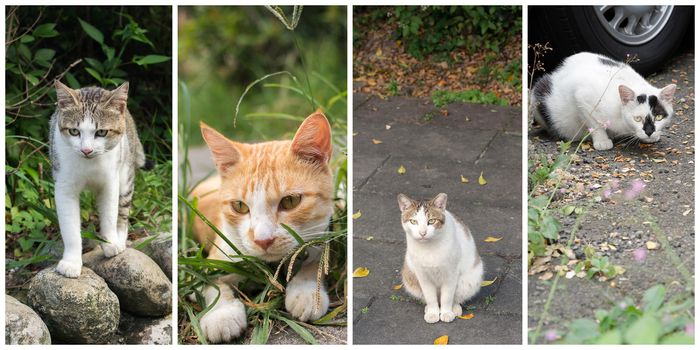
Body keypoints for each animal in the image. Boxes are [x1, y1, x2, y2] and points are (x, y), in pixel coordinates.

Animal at [51, 80, 147, 278]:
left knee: (123, 211)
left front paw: (110, 243)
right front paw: (71, 262)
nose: (86, 150)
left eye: (101, 132)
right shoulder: (64, 185)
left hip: (125, 172)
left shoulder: (110, 181)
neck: (89, 164)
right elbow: (70, 227)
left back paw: (120, 239)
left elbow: (110, 214)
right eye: (74, 131)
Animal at [190, 110, 334, 344]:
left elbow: (314, 263)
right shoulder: (212, 262)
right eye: (239, 206)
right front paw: (221, 315)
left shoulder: (320, 237)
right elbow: (212, 284)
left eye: (290, 201)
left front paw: (306, 293)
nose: (262, 240)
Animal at [400, 193, 482, 324]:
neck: (429, 248)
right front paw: (433, 313)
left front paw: (446, 312)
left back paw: (455, 308)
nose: (422, 233)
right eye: (413, 221)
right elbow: (430, 297)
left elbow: (447, 297)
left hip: (470, 280)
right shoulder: (422, 275)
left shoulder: (451, 274)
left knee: (455, 297)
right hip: (409, 277)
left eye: (431, 221)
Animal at [532, 51, 676, 150]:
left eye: (658, 117)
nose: (649, 132)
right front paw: (602, 141)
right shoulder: (582, 96)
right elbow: (594, 123)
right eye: (637, 119)